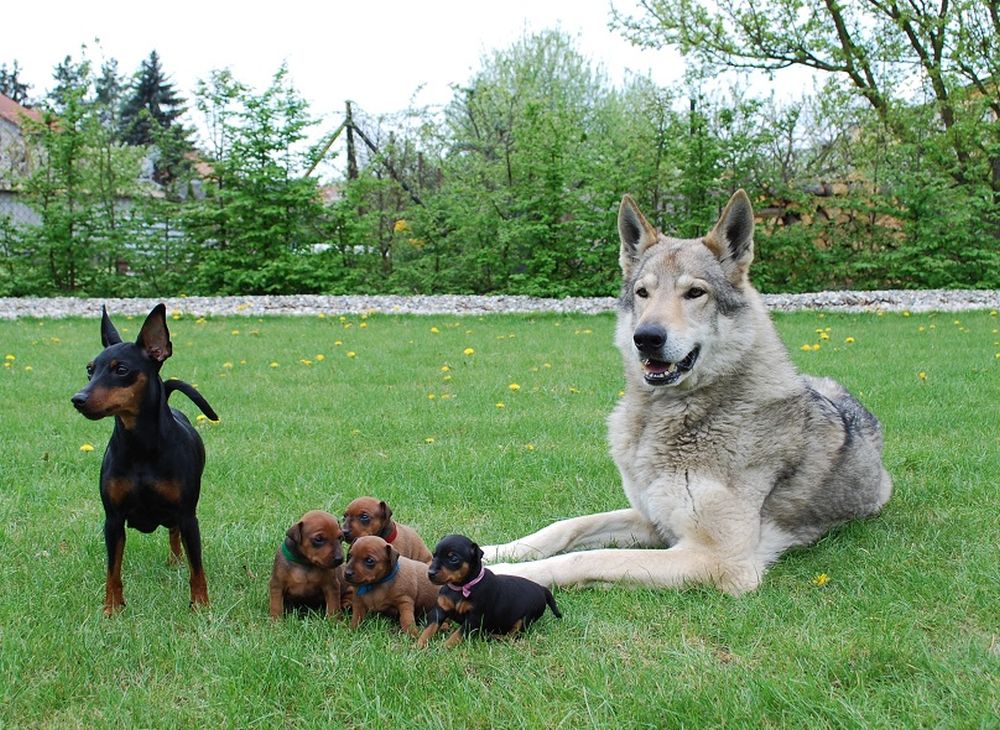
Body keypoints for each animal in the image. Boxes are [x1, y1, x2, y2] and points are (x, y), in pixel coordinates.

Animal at [416, 532, 564, 644]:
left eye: (453, 558)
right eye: (434, 555)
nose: (430, 573)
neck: (461, 587)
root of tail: (541, 588)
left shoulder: (473, 619)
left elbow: (457, 635)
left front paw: (444, 648)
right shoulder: (440, 610)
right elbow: (429, 629)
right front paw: (419, 645)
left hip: (525, 619)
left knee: (514, 635)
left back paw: (495, 637)